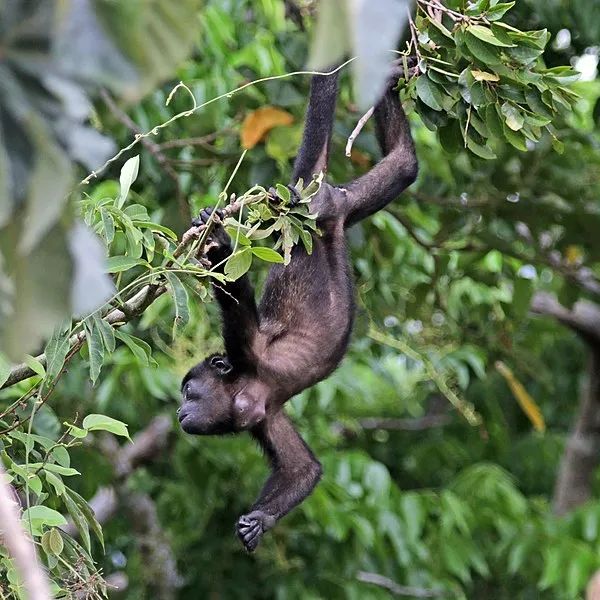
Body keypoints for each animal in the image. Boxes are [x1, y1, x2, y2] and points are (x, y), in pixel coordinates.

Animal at [178, 65, 418, 552]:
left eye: (189, 392)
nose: (178, 414)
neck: (243, 390)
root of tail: (314, 202)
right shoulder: (263, 415)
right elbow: (304, 469)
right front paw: (260, 521)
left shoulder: (248, 353)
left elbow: (236, 296)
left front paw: (217, 241)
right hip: (346, 203)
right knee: (404, 164)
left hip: (320, 205)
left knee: (398, 168)